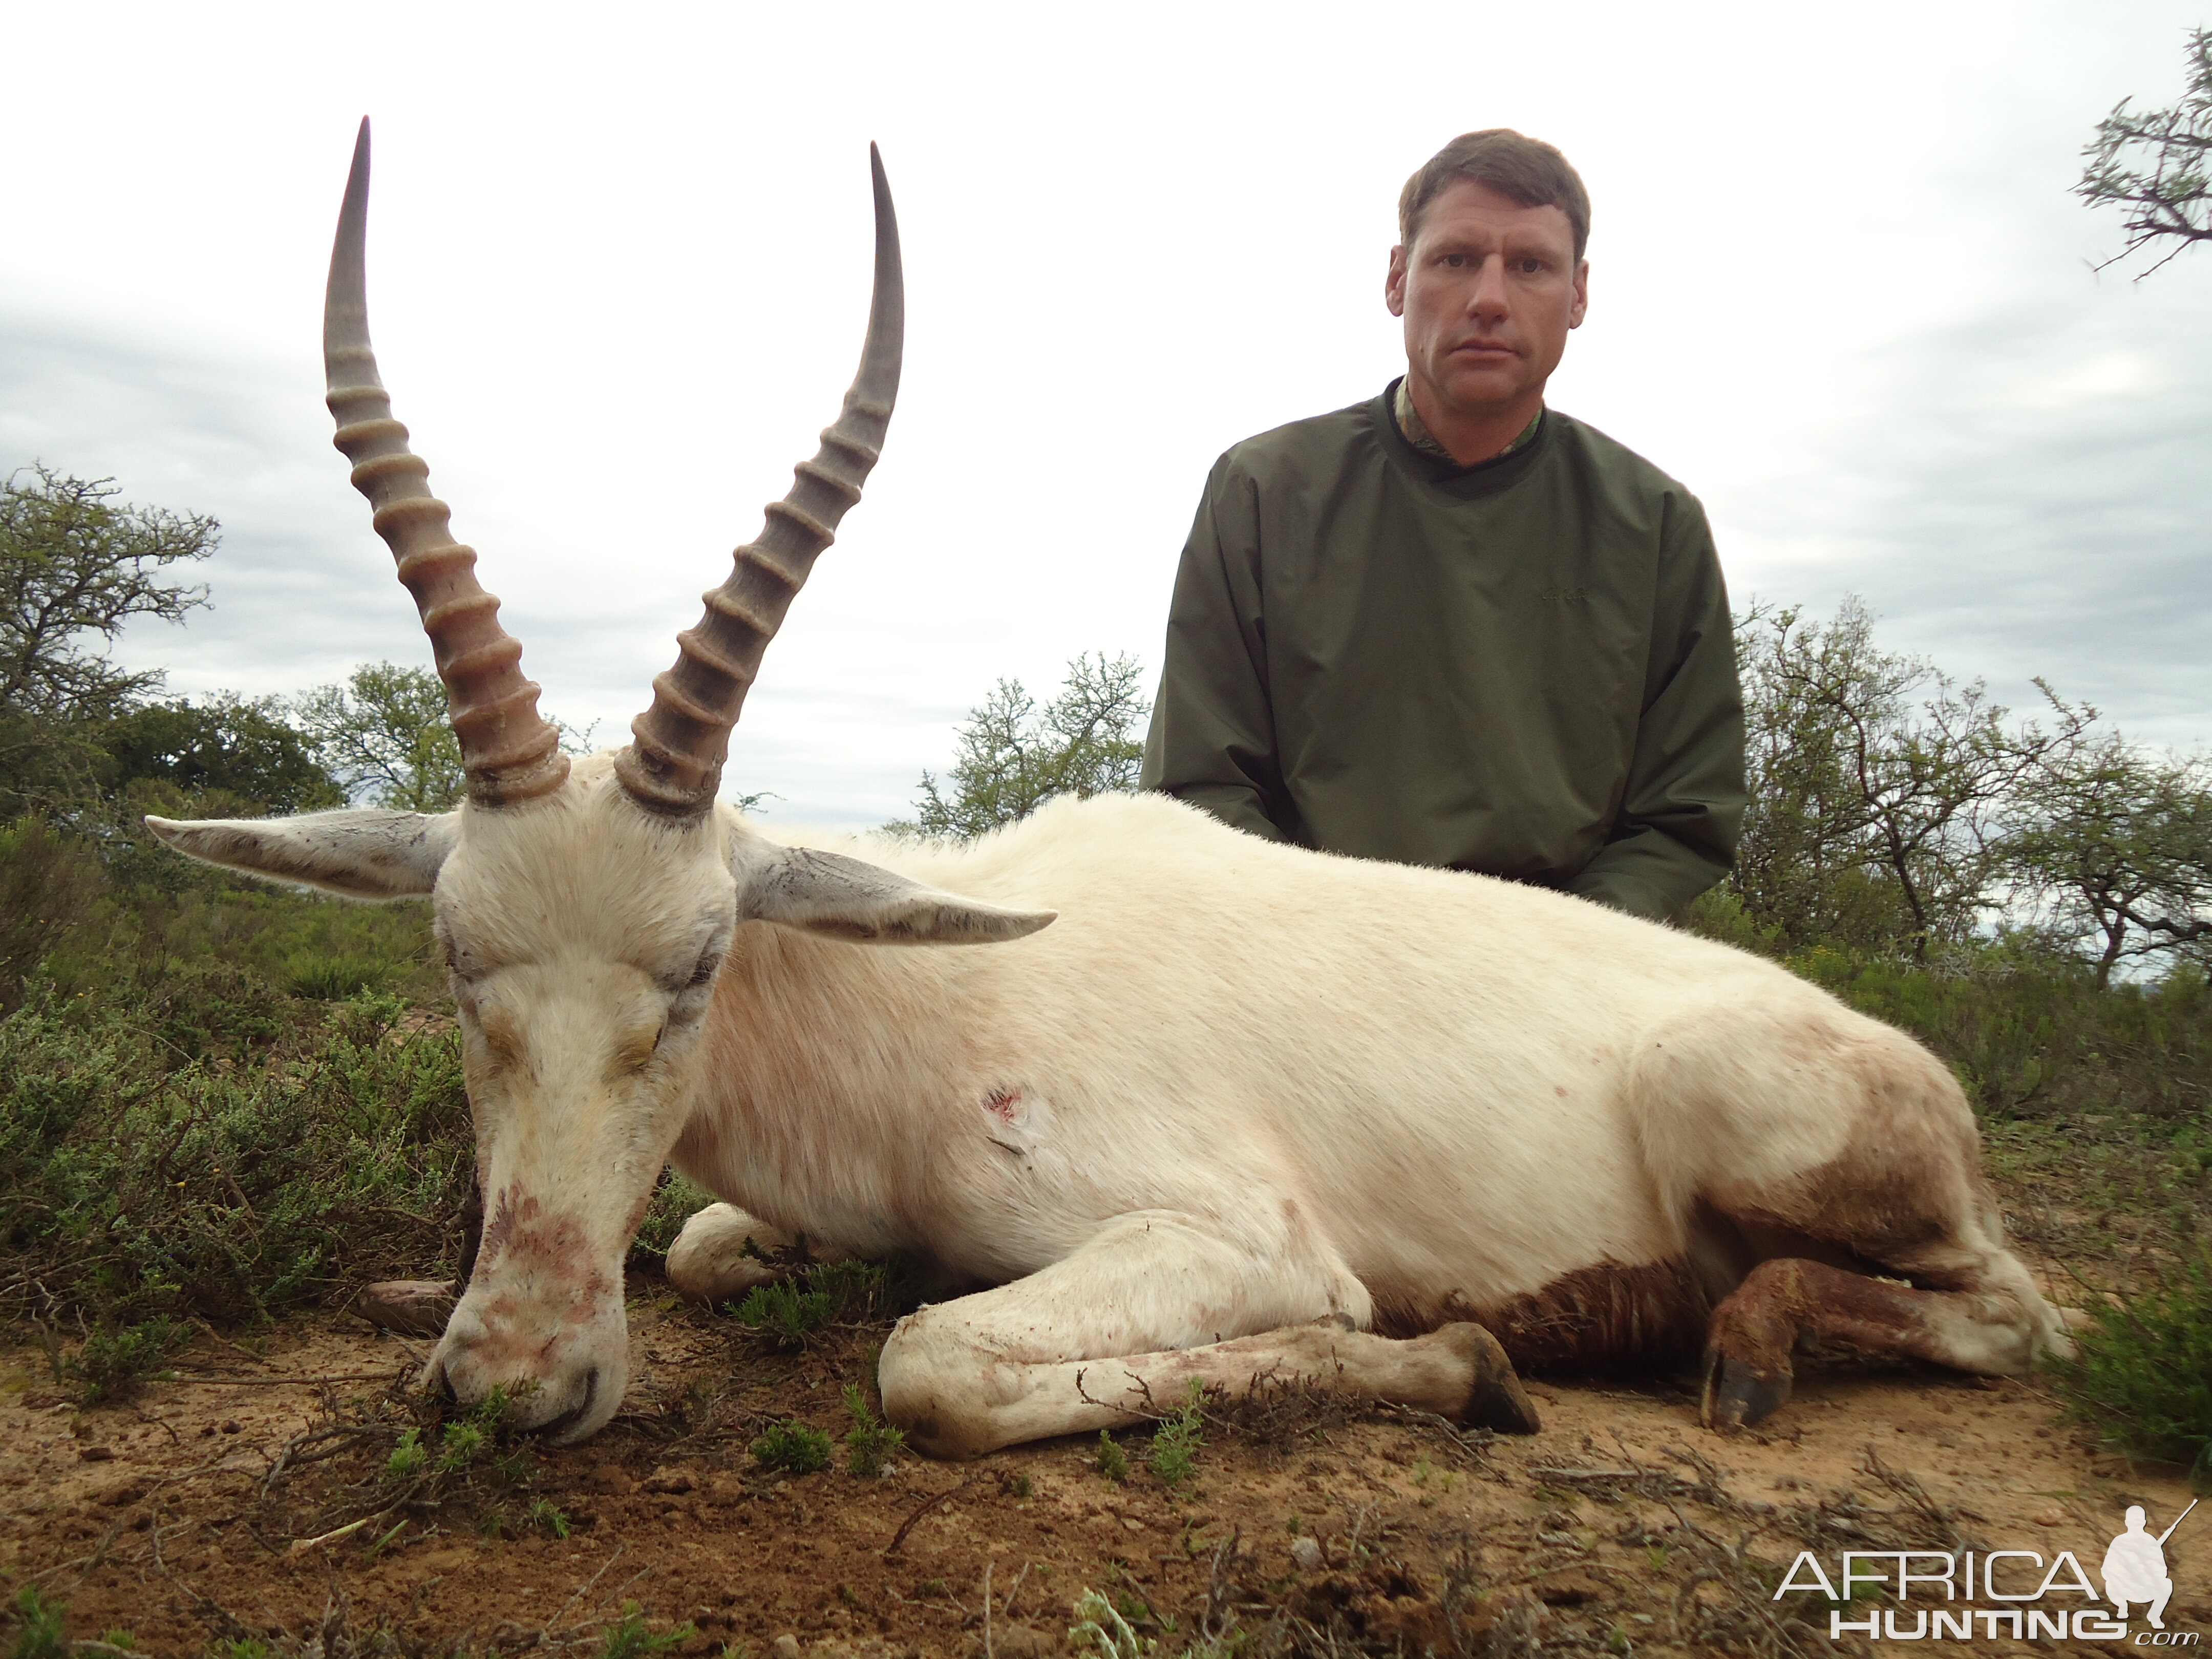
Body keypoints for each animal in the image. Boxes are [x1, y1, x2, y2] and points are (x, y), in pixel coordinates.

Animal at [156, 123, 2070, 1451]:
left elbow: (929, 1361)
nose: (511, 1381)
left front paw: (1470, 1363)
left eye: (698, 965)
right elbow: (704, 1250)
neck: (928, 1008)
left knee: (2019, 1319)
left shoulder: (1243, 1241)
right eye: (452, 959)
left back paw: (1734, 1353)